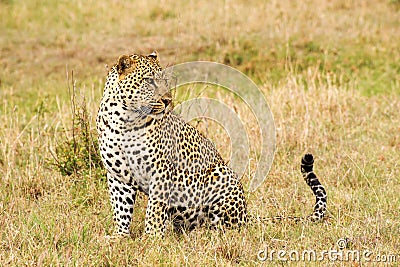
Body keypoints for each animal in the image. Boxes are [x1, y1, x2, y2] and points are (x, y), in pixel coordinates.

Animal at [97, 51, 328, 238]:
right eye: (149, 81)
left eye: (165, 82)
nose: (167, 101)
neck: (124, 119)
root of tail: (246, 214)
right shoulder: (117, 175)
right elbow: (121, 208)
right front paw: (120, 236)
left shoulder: (160, 172)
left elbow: (154, 209)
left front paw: (151, 238)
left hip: (220, 176)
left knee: (227, 226)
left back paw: (205, 232)